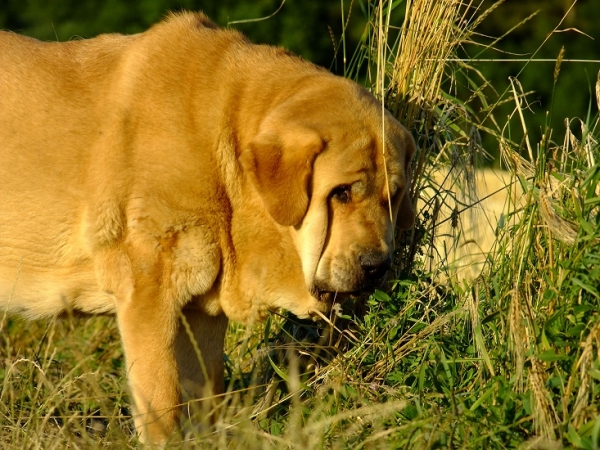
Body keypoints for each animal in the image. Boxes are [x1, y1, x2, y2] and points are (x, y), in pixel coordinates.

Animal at [0, 12, 412, 444]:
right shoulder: (148, 296)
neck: (223, 145)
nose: (377, 266)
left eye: (395, 195)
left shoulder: (201, 315)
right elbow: (162, 403)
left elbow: (204, 400)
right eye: (342, 193)